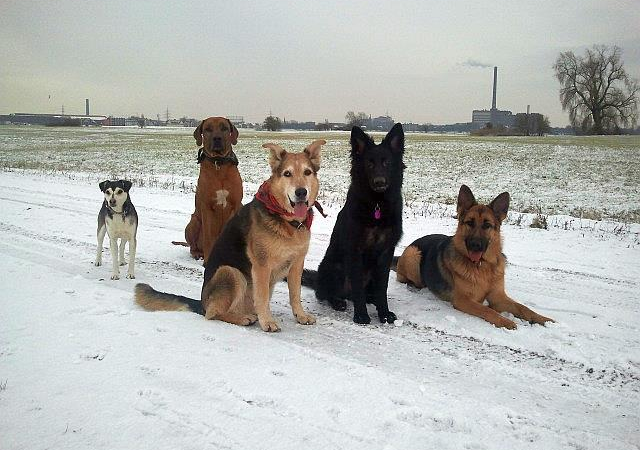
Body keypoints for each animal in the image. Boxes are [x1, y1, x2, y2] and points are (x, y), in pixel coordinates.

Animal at [135, 139, 324, 332]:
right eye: (287, 174)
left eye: (307, 172)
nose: (301, 192)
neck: (288, 221)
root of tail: (202, 304)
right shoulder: (261, 266)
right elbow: (262, 297)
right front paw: (267, 322)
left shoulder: (297, 264)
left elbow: (295, 294)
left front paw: (300, 315)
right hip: (230, 272)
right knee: (213, 313)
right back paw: (243, 318)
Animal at [176, 117, 244, 264]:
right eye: (207, 129)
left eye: (224, 128)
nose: (217, 138)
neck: (219, 165)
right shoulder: (207, 207)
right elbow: (208, 237)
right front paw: (207, 262)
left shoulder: (236, 205)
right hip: (193, 222)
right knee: (193, 247)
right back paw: (198, 254)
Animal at [302, 123, 404, 324]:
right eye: (369, 164)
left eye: (387, 163)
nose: (379, 182)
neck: (377, 204)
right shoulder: (355, 249)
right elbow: (357, 287)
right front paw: (361, 315)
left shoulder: (386, 252)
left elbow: (383, 287)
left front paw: (384, 313)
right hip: (333, 267)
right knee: (326, 294)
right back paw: (338, 302)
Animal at [392, 185, 552, 328]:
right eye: (469, 223)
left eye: (487, 225)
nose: (475, 245)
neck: (482, 266)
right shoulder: (463, 300)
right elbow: (486, 309)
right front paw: (505, 321)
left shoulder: (498, 298)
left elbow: (522, 307)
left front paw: (543, 319)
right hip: (414, 254)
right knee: (405, 279)